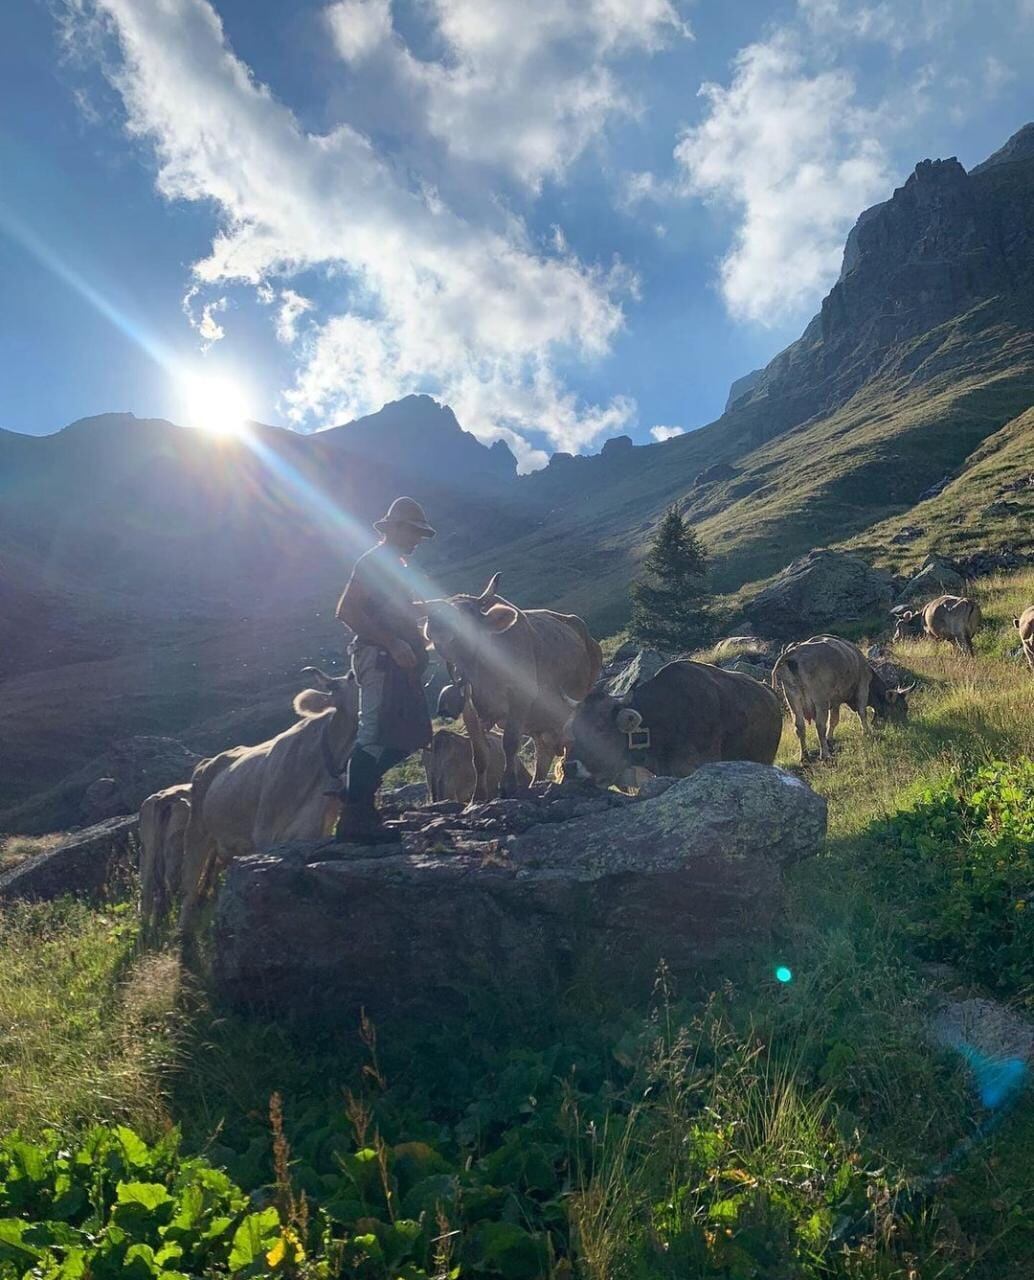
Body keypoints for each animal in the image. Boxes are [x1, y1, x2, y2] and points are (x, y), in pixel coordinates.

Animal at [175, 670, 358, 931]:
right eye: (353, 677)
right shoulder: (265, 833)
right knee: (190, 885)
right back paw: (183, 931)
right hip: (197, 830)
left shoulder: (313, 831)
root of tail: (207, 763)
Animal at [417, 578, 598, 798]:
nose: (437, 624)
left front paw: (508, 785)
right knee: (543, 752)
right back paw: (537, 783)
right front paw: (478, 796)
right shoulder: (468, 707)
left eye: (468, 613)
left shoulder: (521, 697)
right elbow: (479, 754)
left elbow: (510, 742)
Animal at [778, 629, 911, 757]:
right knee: (820, 726)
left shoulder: (835, 700)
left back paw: (805, 755)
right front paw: (867, 731)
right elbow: (861, 713)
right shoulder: (862, 687)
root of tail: (795, 652)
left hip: (793, 699)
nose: (907, 724)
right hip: (820, 700)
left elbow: (833, 720)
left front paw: (829, 739)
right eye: (903, 708)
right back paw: (825, 754)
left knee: (800, 726)